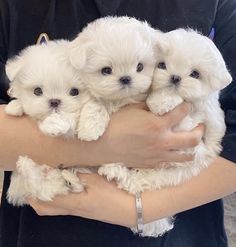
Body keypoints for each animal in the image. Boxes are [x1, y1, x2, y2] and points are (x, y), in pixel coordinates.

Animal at [5, 40, 91, 206]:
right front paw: (14, 106)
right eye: (37, 91)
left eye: (74, 92)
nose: (54, 101)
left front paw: (52, 126)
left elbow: (69, 118)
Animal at [98, 29, 232, 237]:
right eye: (161, 65)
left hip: (172, 175)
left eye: (195, 74)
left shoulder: (202, 131)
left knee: (142, 182)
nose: (175, 78)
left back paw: (120, 174)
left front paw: (163, 101)